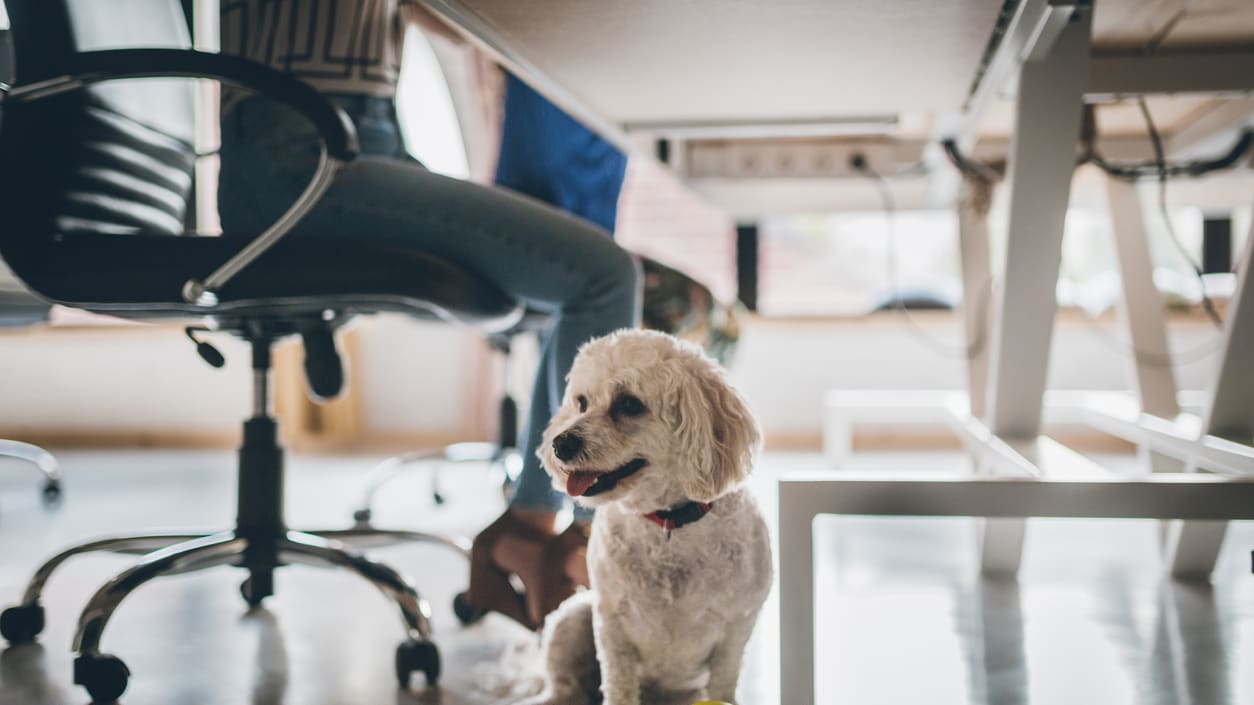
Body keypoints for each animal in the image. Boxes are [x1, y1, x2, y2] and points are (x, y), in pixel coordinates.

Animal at [519, 328, 772, 702]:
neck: (667, 521)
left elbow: (723, 685)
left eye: (629, 404)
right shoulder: (612, 627)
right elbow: (619, 687)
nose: (560, 444)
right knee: (564, 688)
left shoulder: (735, 630)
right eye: (581, 402)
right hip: (573, 617)